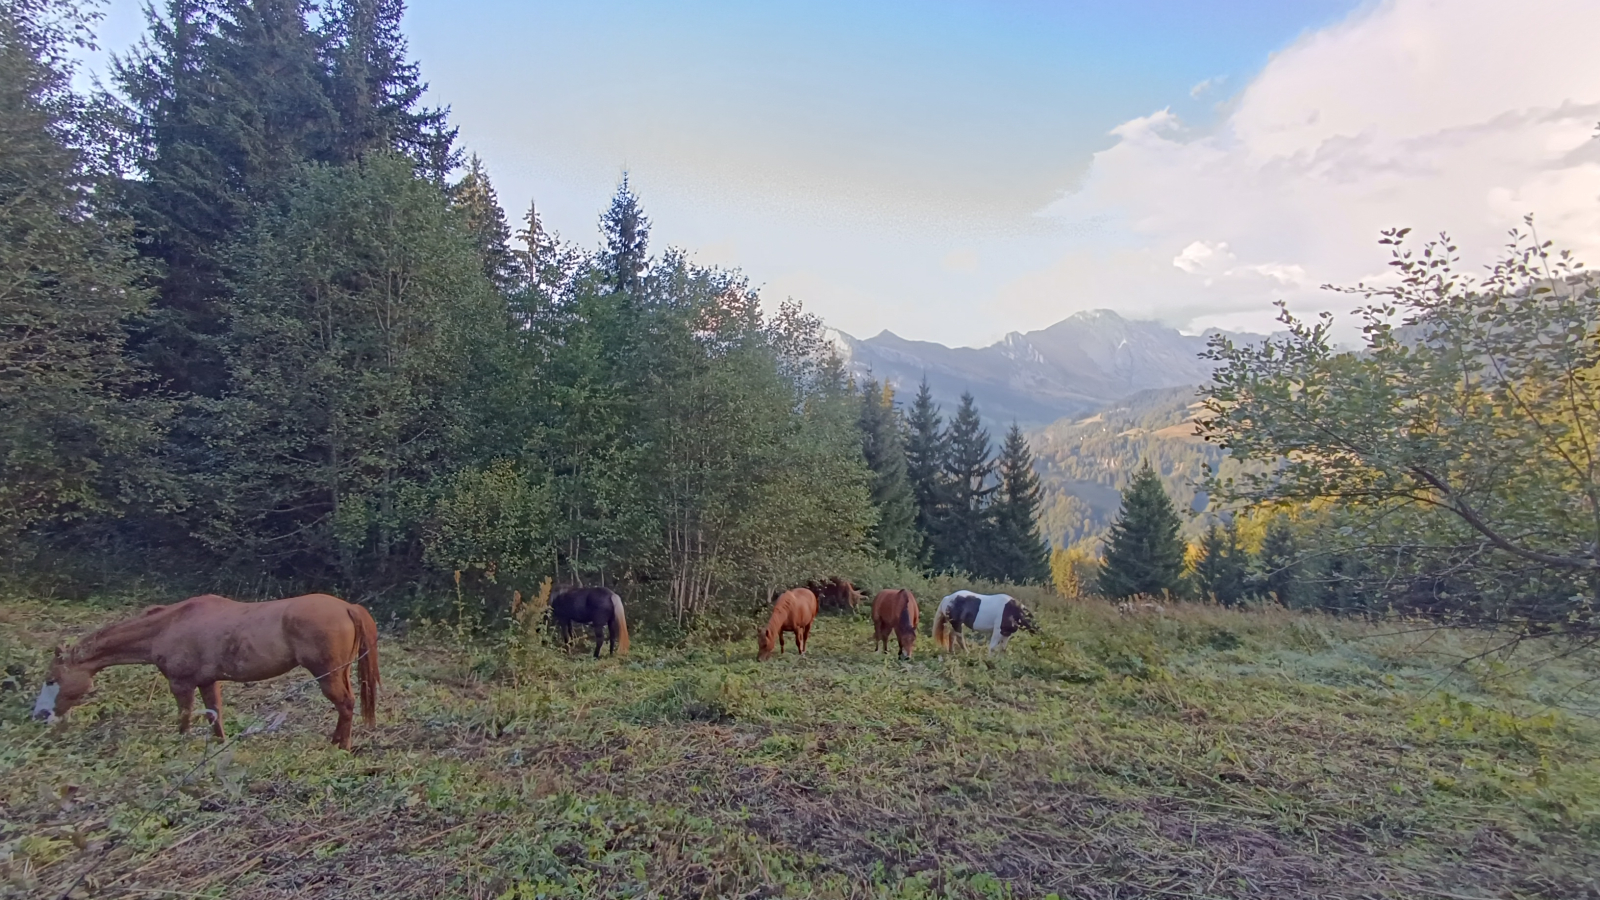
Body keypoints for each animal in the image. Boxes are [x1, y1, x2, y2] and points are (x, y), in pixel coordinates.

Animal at [32, 592, 382, 746]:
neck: (168, 626)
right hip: (337, 673)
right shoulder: (207, 682)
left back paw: (342, 746)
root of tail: (346, 607)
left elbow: (185, 717)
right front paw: (218, 744)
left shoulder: (181, 684)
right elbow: (215, 715)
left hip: (327, 675)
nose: (39, 715)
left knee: (346, 705)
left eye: (51, 679)